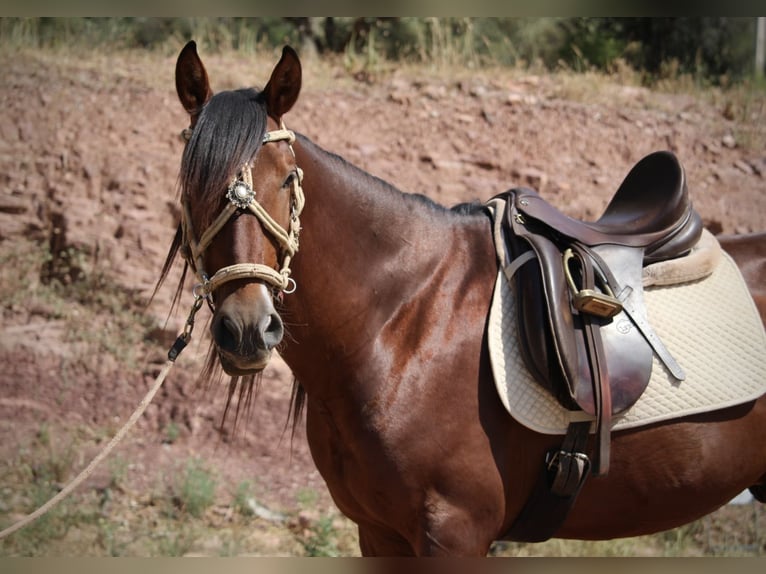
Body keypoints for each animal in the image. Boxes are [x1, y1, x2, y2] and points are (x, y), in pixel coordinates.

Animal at [160, 41, 766, 556]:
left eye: (288, 179)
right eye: (191, 182)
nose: (246, 329)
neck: (403, 325)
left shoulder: (455, 533)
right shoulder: (379, 533)